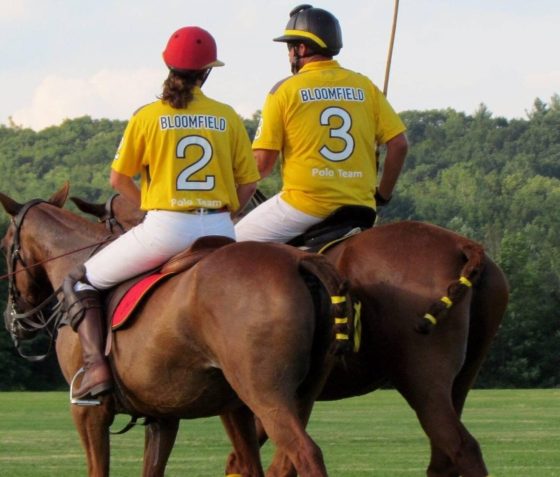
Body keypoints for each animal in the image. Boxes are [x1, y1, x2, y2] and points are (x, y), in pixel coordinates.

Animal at [1, 183, 354, 476]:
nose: (15, 320)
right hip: (293, 395)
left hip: (267, 394)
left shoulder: (89, 412)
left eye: (4, 246)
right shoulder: (162, 415)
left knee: (305, 454)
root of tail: (298, 260)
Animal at [76, 193, 510, 476]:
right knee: (445, 453)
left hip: (420, 377)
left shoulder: (249, 393)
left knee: (458, 446)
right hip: (458, 378)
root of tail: (463, 244)